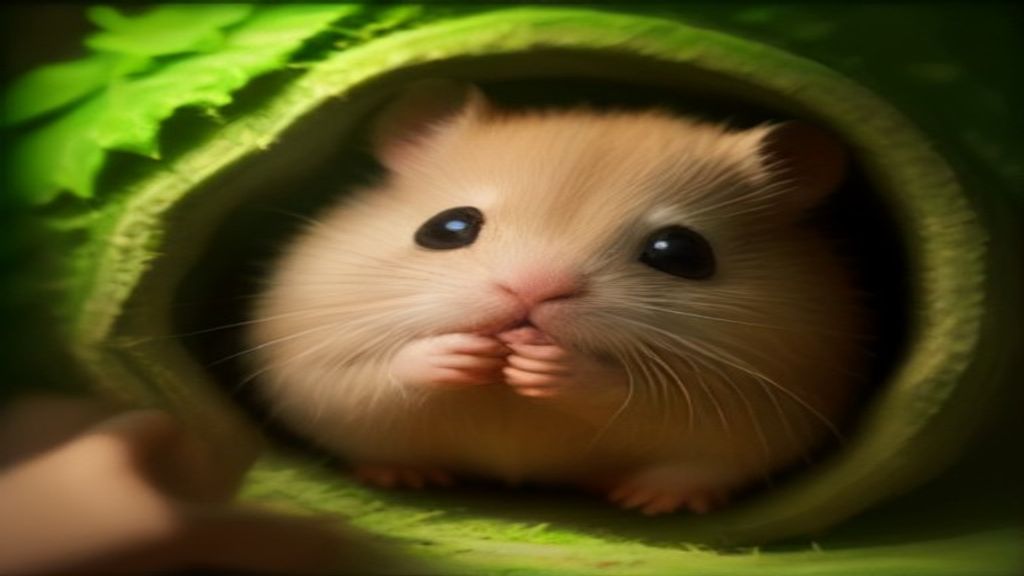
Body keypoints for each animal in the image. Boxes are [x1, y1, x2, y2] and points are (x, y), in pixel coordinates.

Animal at [245, 80, 868, 515]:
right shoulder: (309, 366)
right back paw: (404, 477)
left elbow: (638, 396)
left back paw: (654, 503)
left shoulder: (759, 398)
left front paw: (543, 365)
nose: (531, 293)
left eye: (681, 252)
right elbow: (369, 378)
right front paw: (467, 354)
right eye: (447, 228)